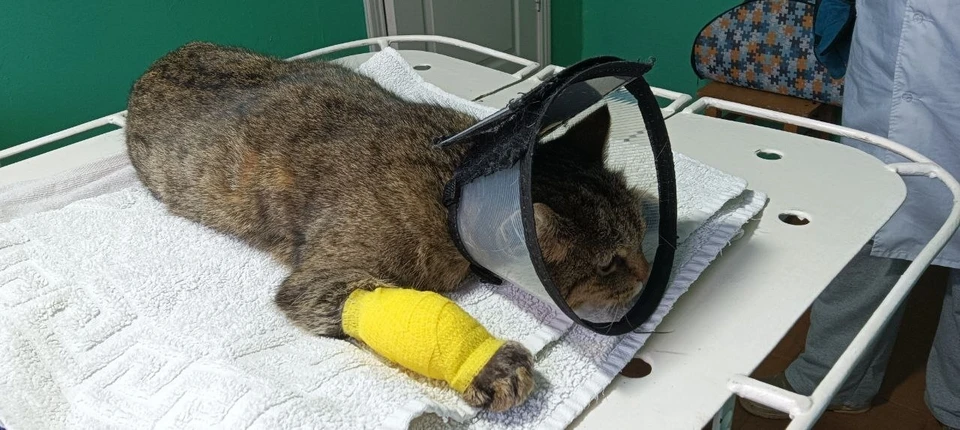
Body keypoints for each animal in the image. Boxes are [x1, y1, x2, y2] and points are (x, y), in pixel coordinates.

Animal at [124, 42, 651, 411]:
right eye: (608, 264)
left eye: (641, 233)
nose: (648, 275)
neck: (453, 184)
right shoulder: (325, 280)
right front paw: (486, 365)